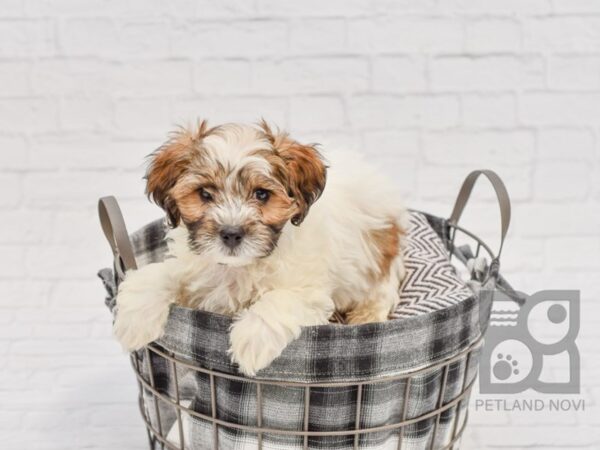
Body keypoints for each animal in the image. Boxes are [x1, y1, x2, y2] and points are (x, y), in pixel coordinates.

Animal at [113, 120, 408, 376]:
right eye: (205, 194)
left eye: (262, 194)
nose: (231, 233)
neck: (238, 267)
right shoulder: (193, 269)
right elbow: (160, 274)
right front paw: (134, 319)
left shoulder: (308, 289)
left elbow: (280, 299)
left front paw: (251, 340)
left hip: (377, 257)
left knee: (382, 290)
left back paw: (366, 315)